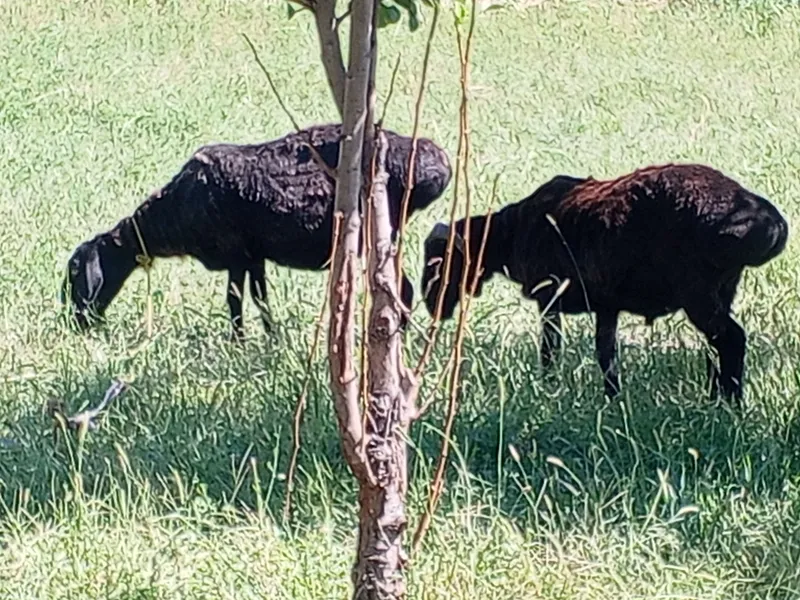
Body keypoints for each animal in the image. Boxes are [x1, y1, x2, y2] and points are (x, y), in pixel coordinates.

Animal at [61, 123, 452, 339]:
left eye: (77, 272)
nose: (77, 323)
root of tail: (437, 165)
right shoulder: (254, 256)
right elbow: (260, 297)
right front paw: (270, 338)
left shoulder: (234, 252)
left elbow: (234, 299)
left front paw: (238, 342)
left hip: (381, 229)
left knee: (402, 287)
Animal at [420, 163, 789, 405]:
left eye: (439, 260)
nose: (431, 306)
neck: (509, 232)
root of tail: (768, 222)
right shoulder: (606, 305)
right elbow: (606, 356)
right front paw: (612, 400)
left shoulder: (549, 297)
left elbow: (550, 351)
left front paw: (548, 389)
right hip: (723, 288)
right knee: (717, 346)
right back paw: (714, 398)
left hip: (697, 292)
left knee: (731, 339)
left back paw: (730, 404)